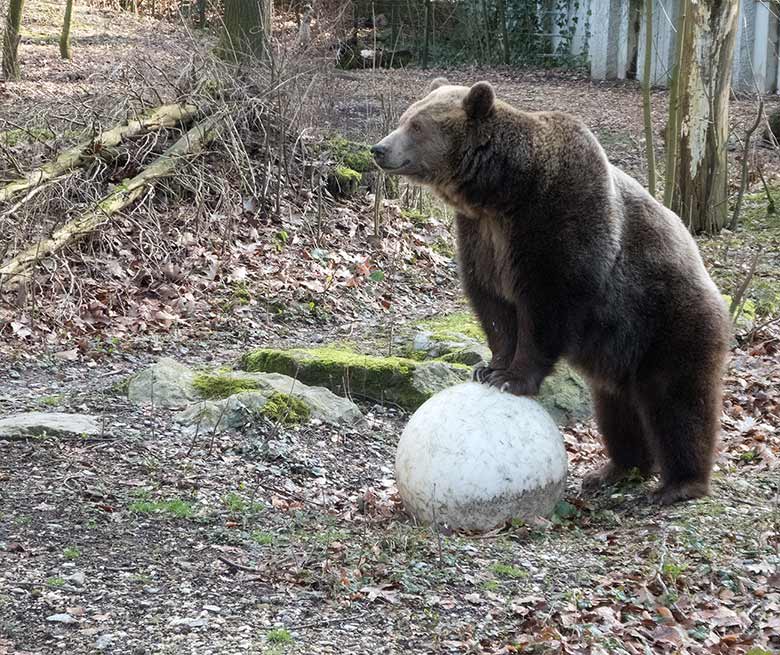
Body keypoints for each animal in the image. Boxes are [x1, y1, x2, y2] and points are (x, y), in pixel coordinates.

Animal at [372, 78, 732, 508]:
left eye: (417, 126)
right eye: (405, 117)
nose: (379, 148)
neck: (502, 192)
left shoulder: (557, 220)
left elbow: (547, 305)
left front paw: (512, 379)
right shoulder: (481, 238)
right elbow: (494, 305)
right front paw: (489, 368)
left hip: (668, 321)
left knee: (678, 403)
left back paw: (679, 484)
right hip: (620, 355)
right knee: (617, 410)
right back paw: (615, 469)